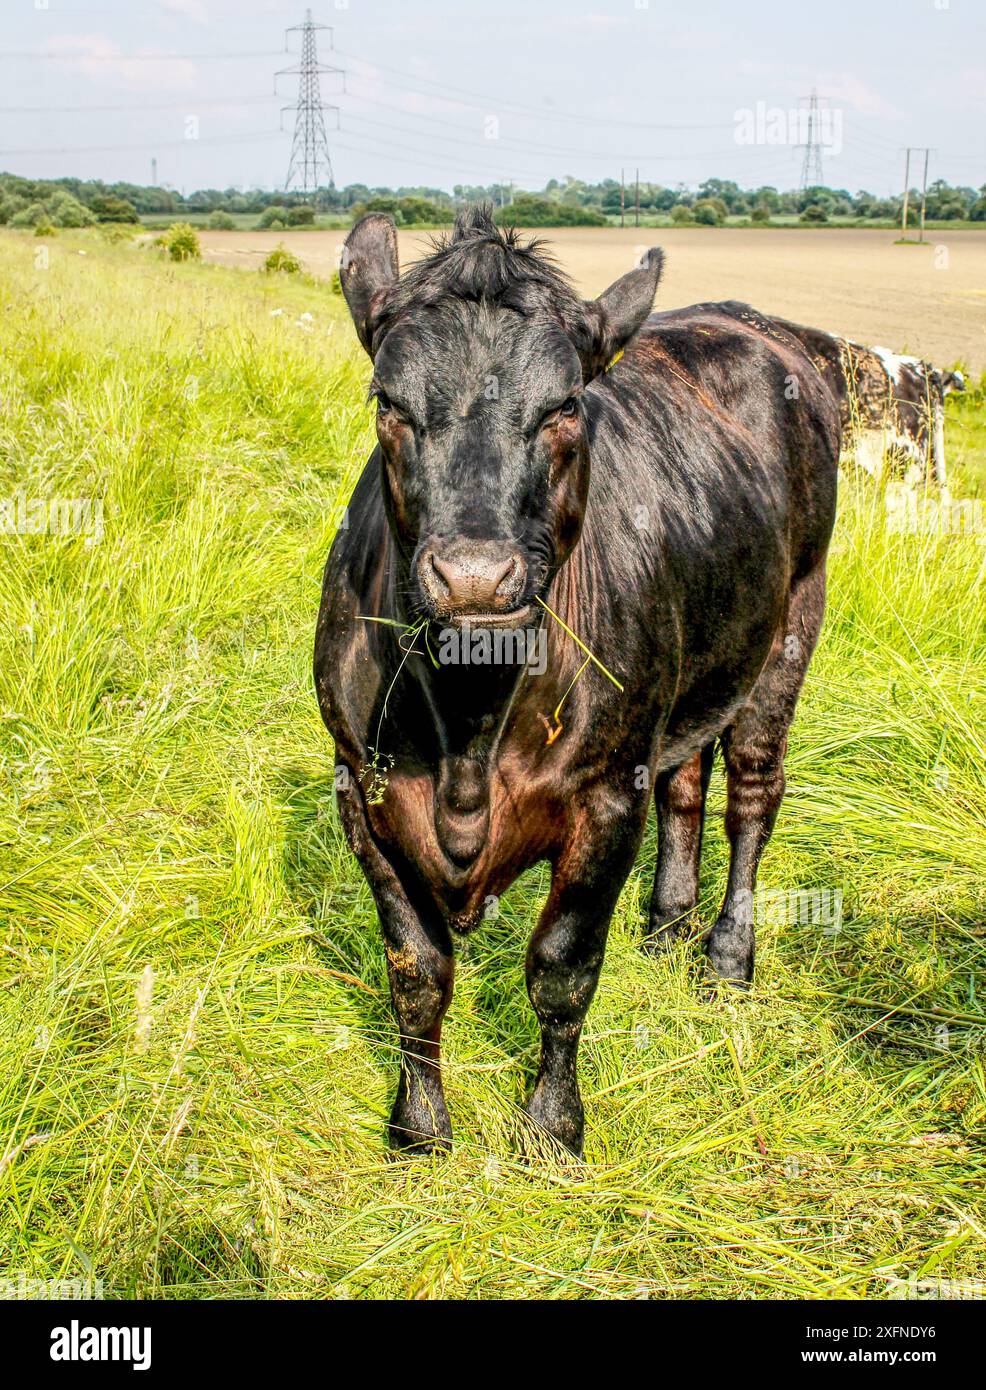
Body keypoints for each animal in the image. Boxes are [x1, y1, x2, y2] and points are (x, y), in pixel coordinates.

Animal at [315, 205, 839, 1156]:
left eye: (563, 406)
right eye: (387, 403)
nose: (474, 577)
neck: (470, 724)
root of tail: (756, 326)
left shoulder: (605, 797)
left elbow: (562, 967)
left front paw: (553, 1127)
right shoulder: (357, 790)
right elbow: (416, 968)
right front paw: (420, 1125)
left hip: (791, 627)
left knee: (751, 793)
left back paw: (726, 959)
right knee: (685, 781)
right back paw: (667, 927)